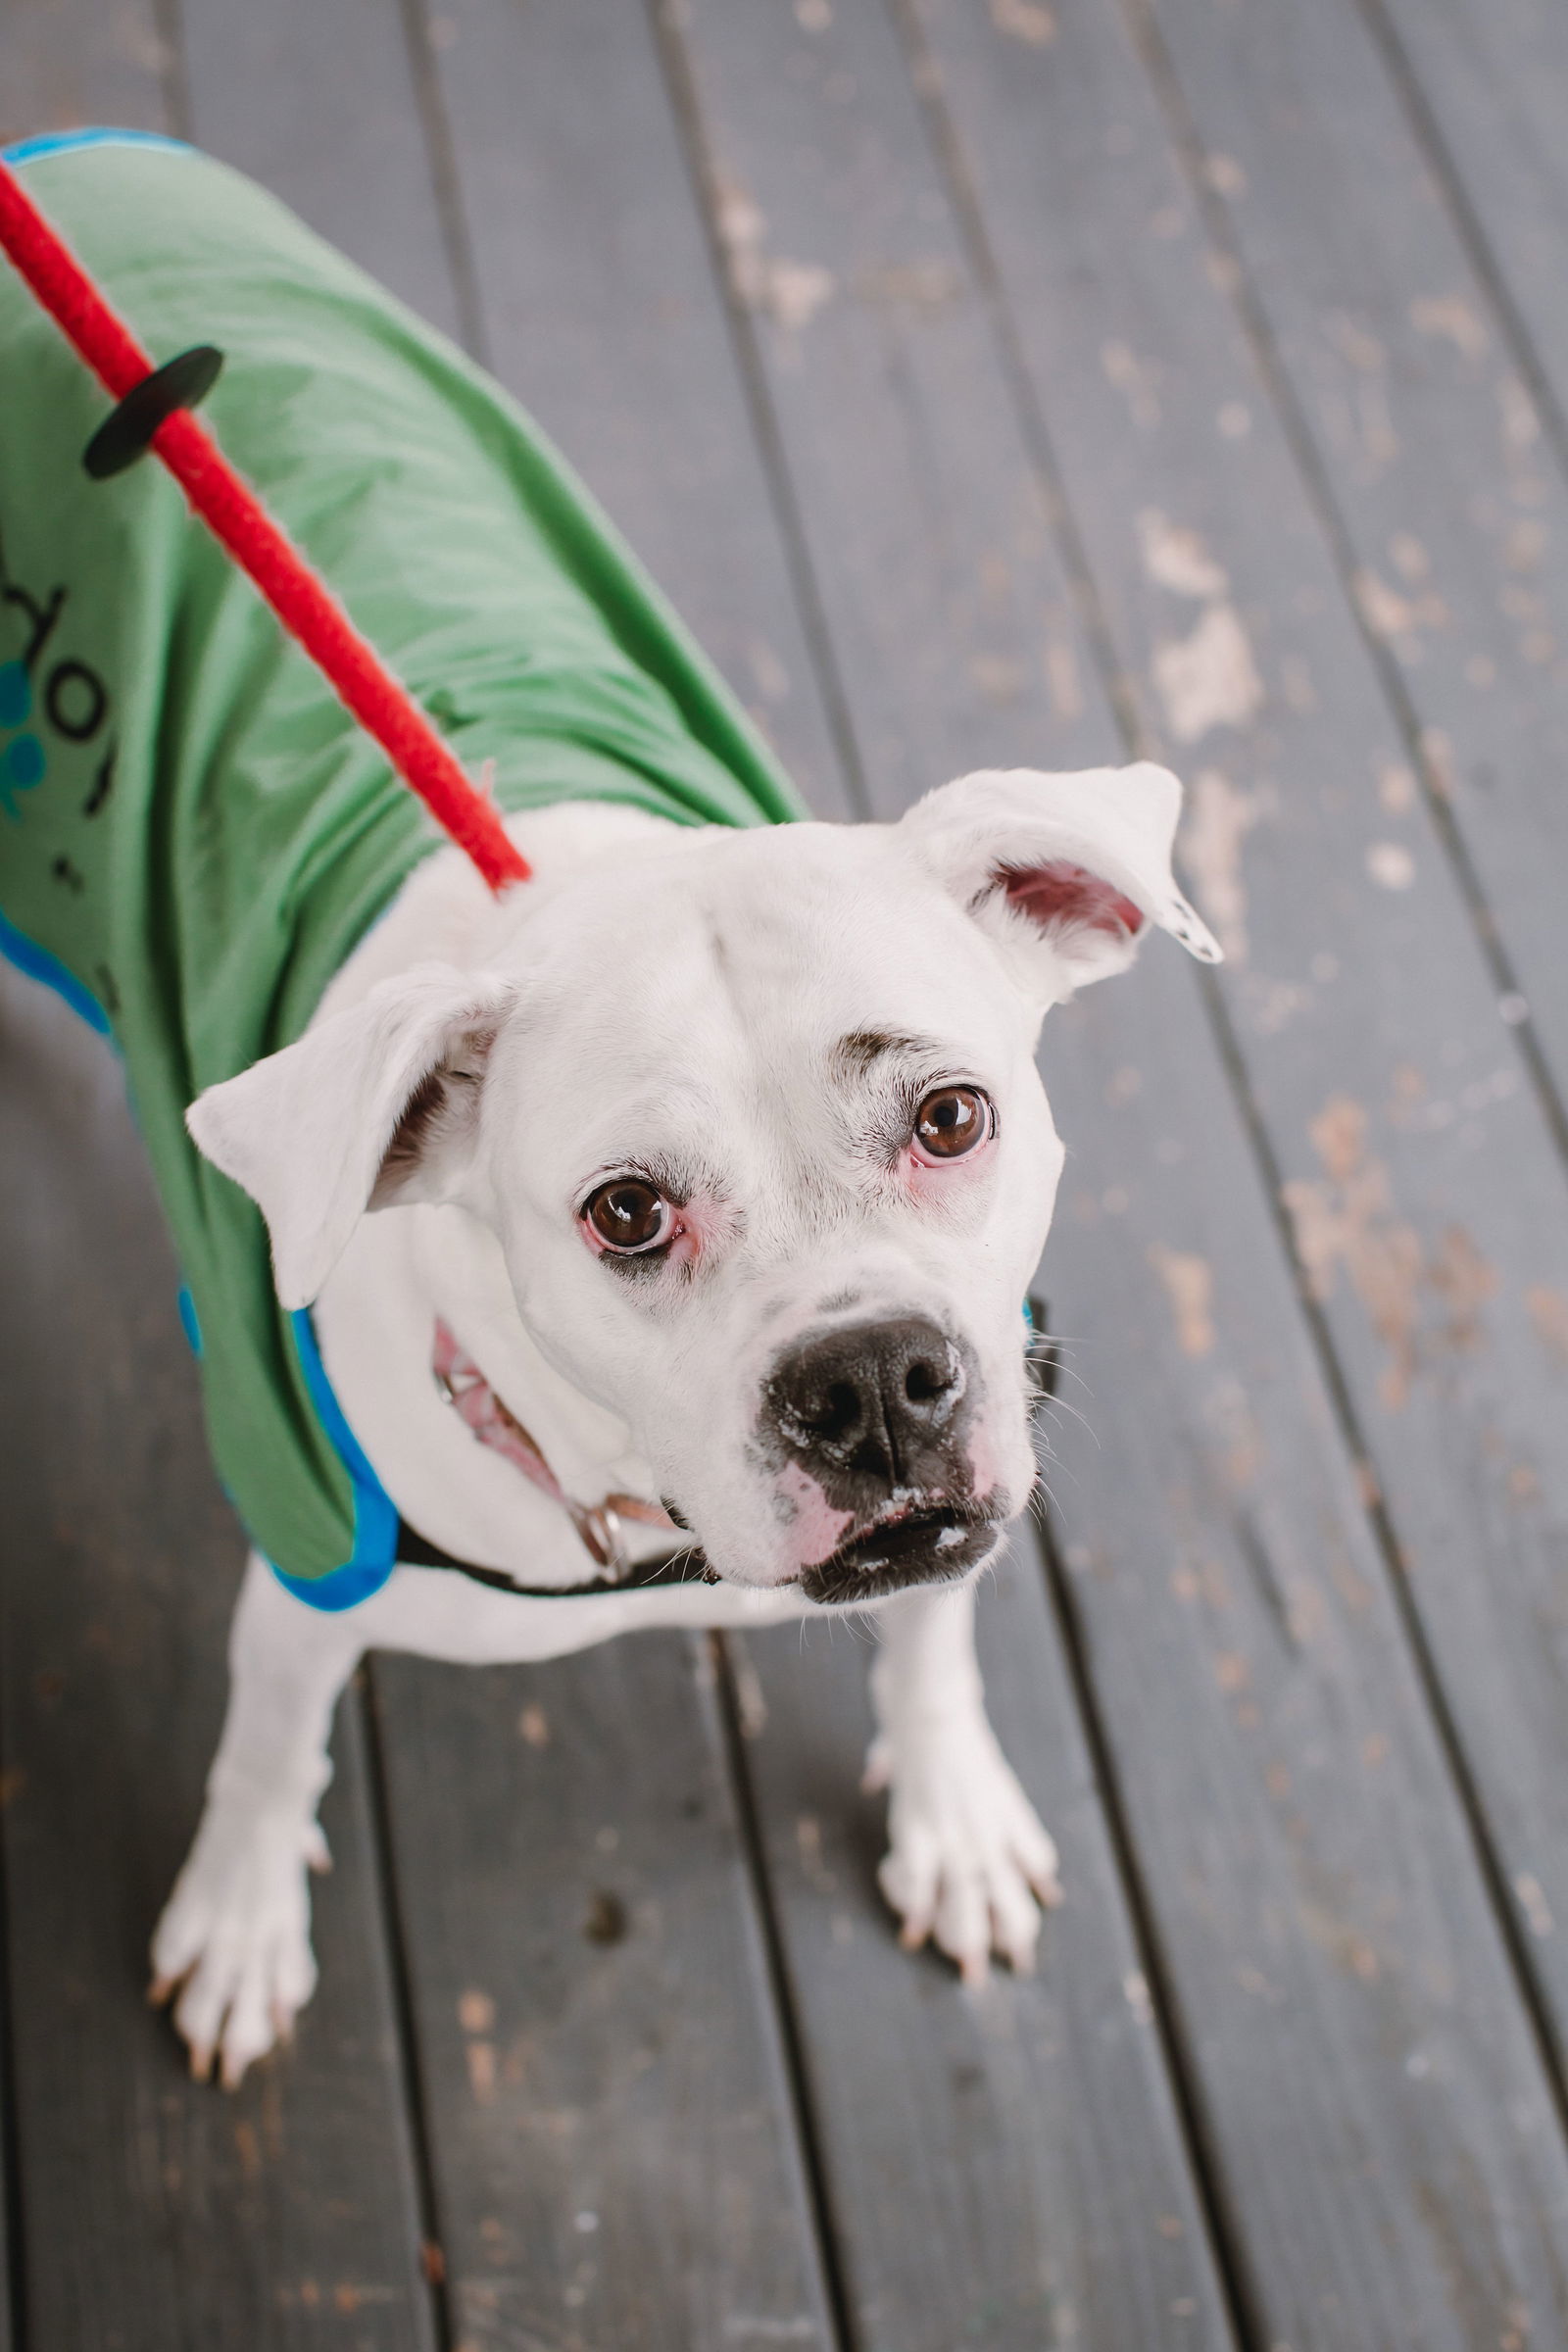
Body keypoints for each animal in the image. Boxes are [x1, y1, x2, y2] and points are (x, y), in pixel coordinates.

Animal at [146, 761, 1222, 2088]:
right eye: (626, 1212)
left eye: (951, 1119)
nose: (871, 1380)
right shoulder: (307, 1577)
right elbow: (267, 1750)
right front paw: (239, 1922)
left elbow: (932, 1648)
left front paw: (953, 1818)